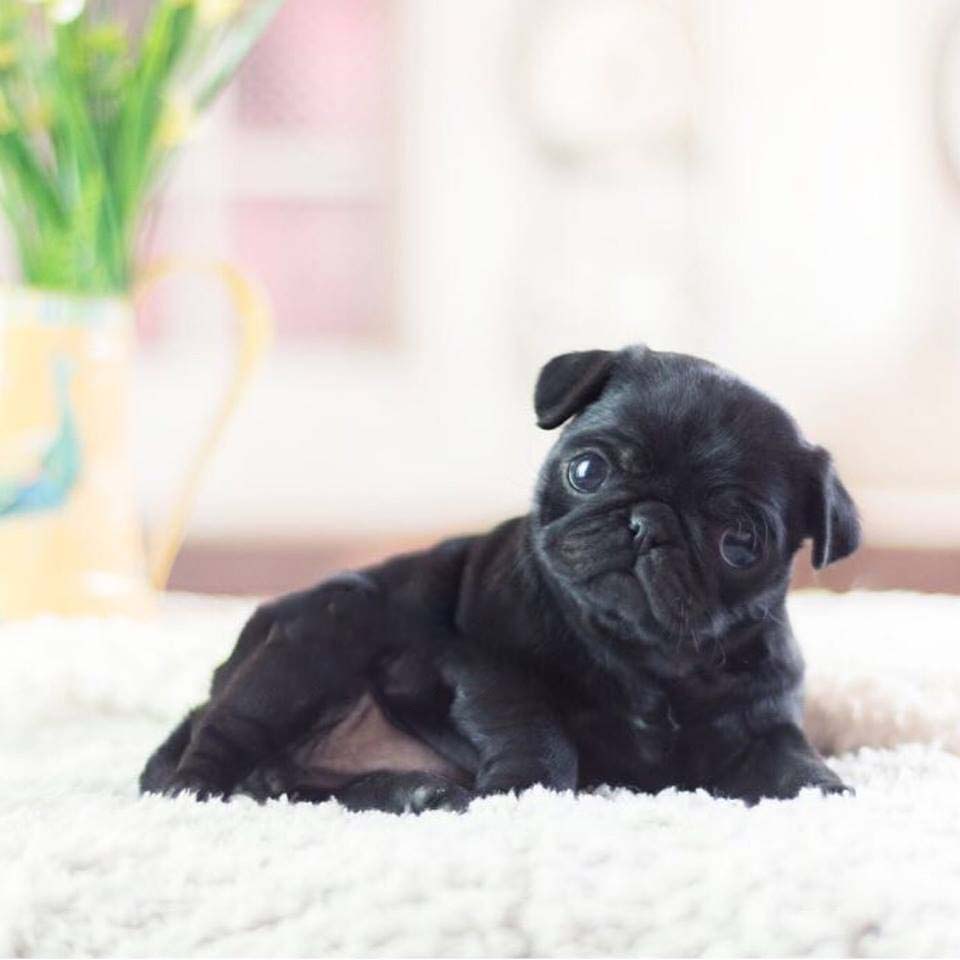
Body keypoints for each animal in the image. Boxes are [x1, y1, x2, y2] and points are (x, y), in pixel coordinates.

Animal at [139, 344, 860, 808]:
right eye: (588, 471)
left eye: (740, 542)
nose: (647, 522)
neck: (644, 657)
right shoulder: (485, 669)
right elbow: (535, 728)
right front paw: (526, 790)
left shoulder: (763, 718)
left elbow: (791, 753)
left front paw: (825, 788)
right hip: (311, 644)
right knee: (224, 735)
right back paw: (192, 790)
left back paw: (419, 792)